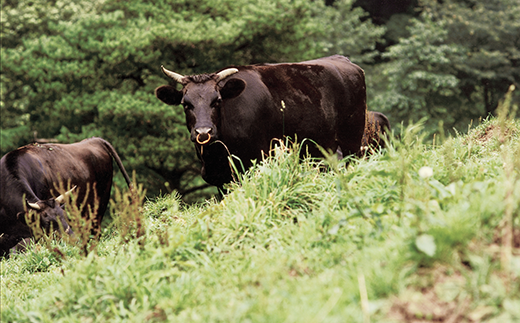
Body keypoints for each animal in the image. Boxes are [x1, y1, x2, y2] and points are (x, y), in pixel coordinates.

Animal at [154, 55, 366, 187]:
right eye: (185, 104)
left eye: (217, 101)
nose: (204, 132)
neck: (217, 155)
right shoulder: (219, 178)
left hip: (352, 140)